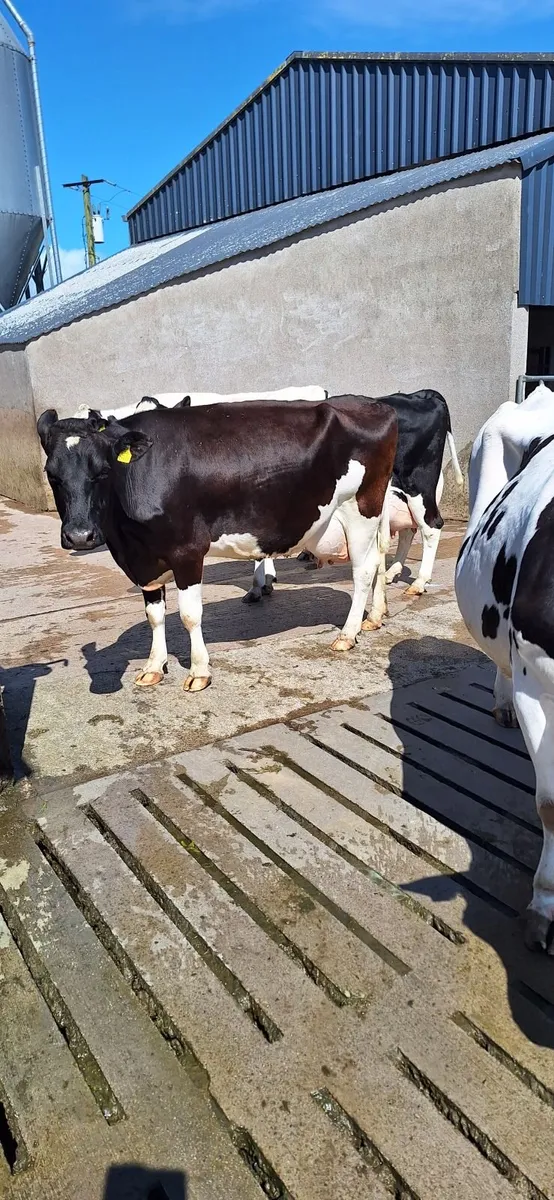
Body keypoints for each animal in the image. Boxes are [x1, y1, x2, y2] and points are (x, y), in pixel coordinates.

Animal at [38, 398, 397, 695]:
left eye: (102, 471)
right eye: (52, 475)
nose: (80, 535)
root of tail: (372, 403)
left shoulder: (186, 550)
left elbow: (189, 615)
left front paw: (199, 671)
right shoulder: (145, 560)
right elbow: (154, 615)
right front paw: (154, 667)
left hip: (361, 509)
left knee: (363, 572)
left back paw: (347, 635)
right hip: (372, 512)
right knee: (378, 558)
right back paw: (375, 617)